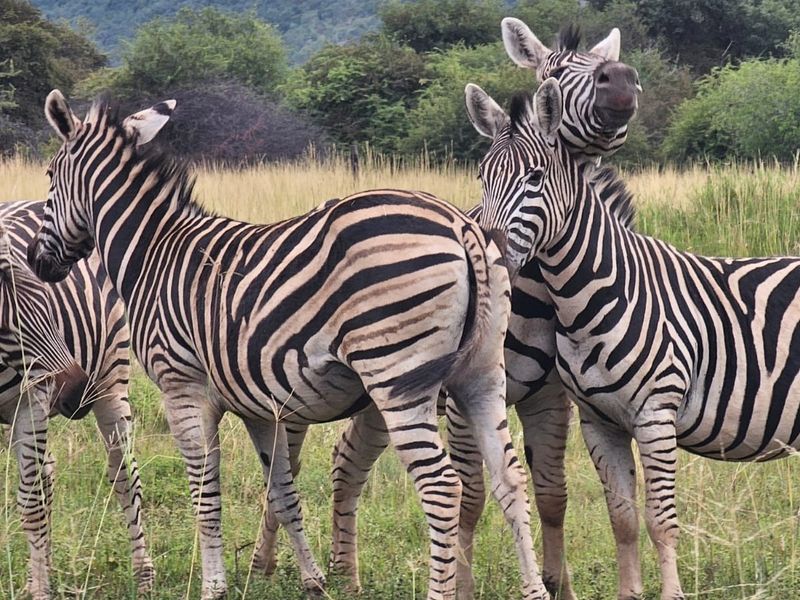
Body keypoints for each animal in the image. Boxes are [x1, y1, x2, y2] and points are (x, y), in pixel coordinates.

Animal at [0, 202, 154, 599]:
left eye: (47, 301)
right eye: (4, 321)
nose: (74, 391)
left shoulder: (32, 401)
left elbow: (31, 505)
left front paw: (41, 591)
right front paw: (39, 579)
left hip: (111, 381)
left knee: (124, 475)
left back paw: (143, 575)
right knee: (47, 476)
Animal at [29, 91, 549, 600]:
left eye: (50, 177)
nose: (38, 261)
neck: (154, 252)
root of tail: (461, 225)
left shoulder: (182, 387)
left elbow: (205, 491)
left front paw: (214, 585)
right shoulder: (262, 406)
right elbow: (282, 490)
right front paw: (312, 579)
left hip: (396, 375)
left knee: (441, 487)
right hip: (482, 373)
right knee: (509, 479)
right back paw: (535, 590)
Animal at [290, 21, 640, 600]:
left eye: (601, 62)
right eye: (554, 71)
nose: (621, 82)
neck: (542, 293)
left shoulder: (549, 398)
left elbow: (551, 493)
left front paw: (556, 584)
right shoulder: (459, 400)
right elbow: (472, 496)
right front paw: (462, 586)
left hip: (383, 393)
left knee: (346, 459)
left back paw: (343, 575)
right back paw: (275, 566)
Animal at [470, 78, 800, 600]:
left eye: (536, 178)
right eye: (482, 177)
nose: (486, 253)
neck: (593, 295)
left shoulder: (655, 414)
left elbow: (661, 521)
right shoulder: (598, 421)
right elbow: (622, 519)